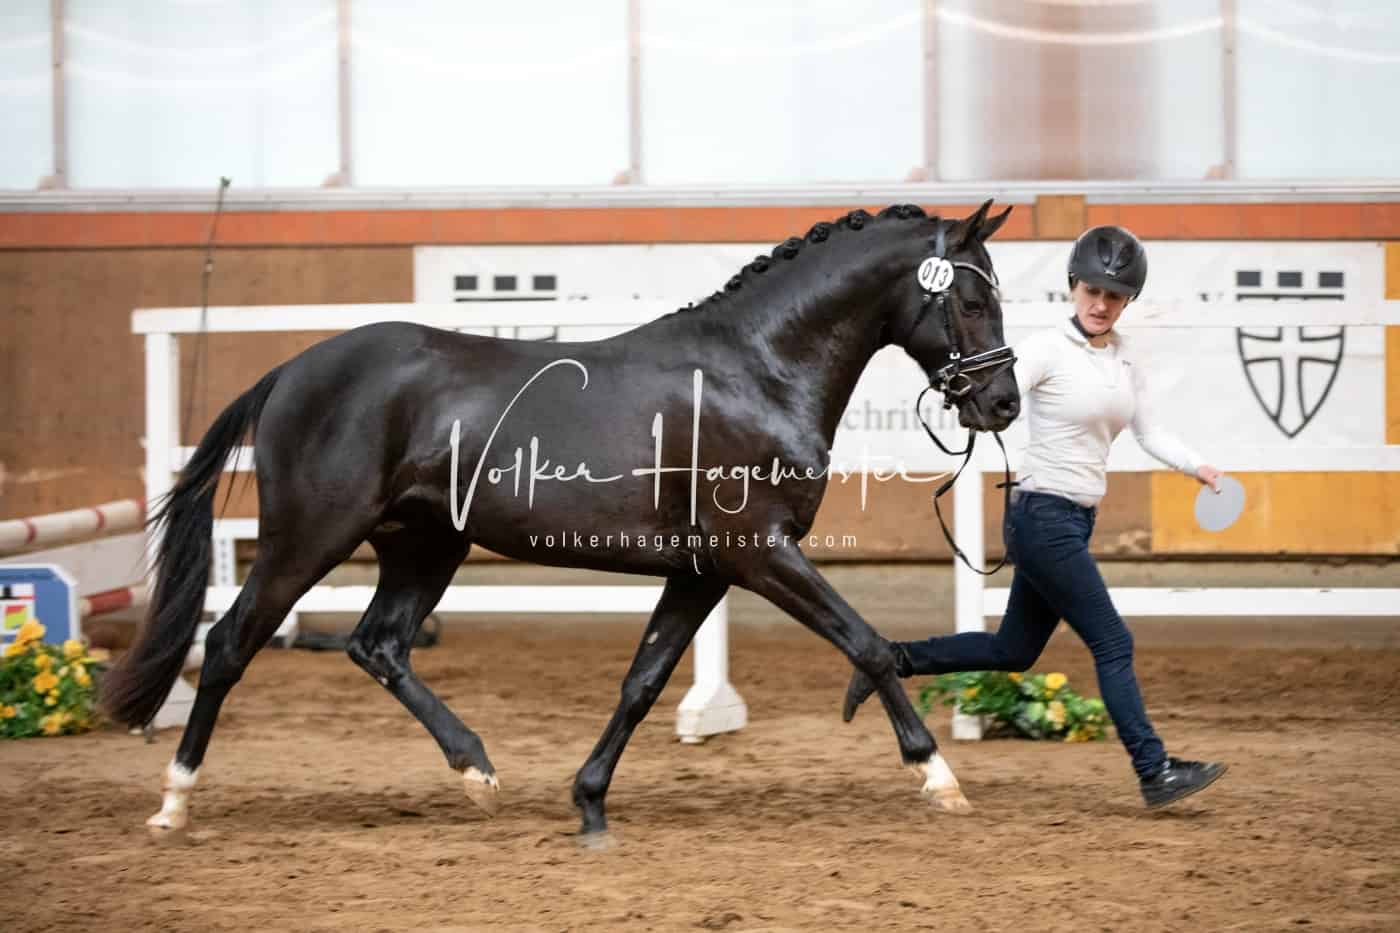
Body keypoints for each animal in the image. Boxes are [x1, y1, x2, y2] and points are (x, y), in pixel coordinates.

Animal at [102, 200, 1021, 843]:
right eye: (973, 301)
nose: (1004, 402)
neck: (754, 371)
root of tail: (291, 370)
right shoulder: (759, 554)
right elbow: (868, 643)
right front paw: (938, 776)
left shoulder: (702, 572)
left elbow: (642, 683)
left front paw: (589, 802)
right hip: (307, 539)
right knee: (229, 644)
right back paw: (174, 802)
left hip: (426, 544)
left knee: (379, 644)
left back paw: (476, 770)